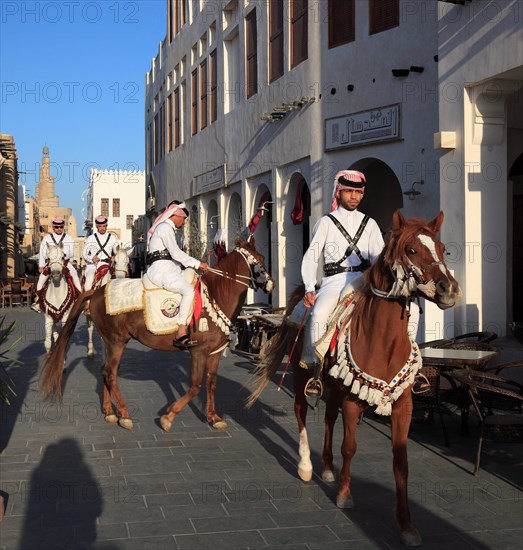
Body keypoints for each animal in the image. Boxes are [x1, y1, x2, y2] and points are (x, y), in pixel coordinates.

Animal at [41, 239, 274, 434]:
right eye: (260, 260)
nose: (271, 284)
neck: (216, 295)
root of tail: (97, 292)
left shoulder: (214, 352)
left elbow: (211, 383)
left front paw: (213, 417)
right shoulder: (198, 351)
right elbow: (195, 386)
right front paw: (168, 417)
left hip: (110, 342)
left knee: (105, 371)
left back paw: (109, 412)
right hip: (116, 342)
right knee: (110, 373)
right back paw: (124, 415)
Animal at [248, 210, 460, 548]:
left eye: (441, 248)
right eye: (412, 250)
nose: (448, 289)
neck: (383, 341)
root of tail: (301, 295)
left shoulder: (403, 406)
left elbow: (401, 462)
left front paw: (407, 524)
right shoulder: (352, 402)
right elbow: (350, 446)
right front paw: (345, 494)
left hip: (335, 385)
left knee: (328, 418)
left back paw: (327, 468)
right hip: (302, 376)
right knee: (301, 412)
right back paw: (307, 466)